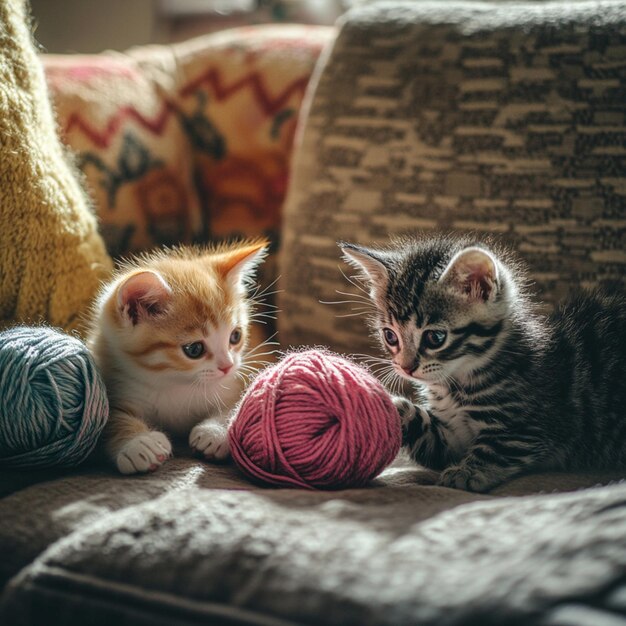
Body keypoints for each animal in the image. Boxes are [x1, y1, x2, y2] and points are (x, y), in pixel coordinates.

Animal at [86, 239, 266, 472]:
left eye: (235, 336)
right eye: (194, 349)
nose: (227, 366)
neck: (173, 381)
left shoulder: (234, 382)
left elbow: (241, 403)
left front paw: (215, 431)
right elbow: (108, 420)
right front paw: (138, 442)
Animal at [342, 235, 624, 492]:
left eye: (435, 338)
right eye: (390, 336)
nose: (406, 367)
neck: (455, 385)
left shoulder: (533, 425)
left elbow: (498, 447)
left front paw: (467, 472)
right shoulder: (451, 438)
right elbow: (426, 429)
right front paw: (389, 405)